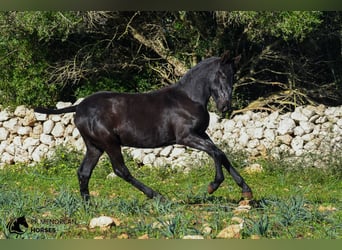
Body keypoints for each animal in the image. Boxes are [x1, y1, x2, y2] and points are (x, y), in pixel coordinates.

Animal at [34, 50, 252, 201]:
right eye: (221, 74)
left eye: (233, 76)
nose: (225, 106)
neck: (189, 99)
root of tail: (79, 107)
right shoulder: (186, 137)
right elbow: (216, 153)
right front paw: (213, 185)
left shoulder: (201, 134)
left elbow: (221, 154)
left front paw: (247, 191)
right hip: (109, 143)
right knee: (121, 171)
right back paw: (157, 196)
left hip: (95, 146)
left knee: (84, 172)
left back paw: (88, 204)